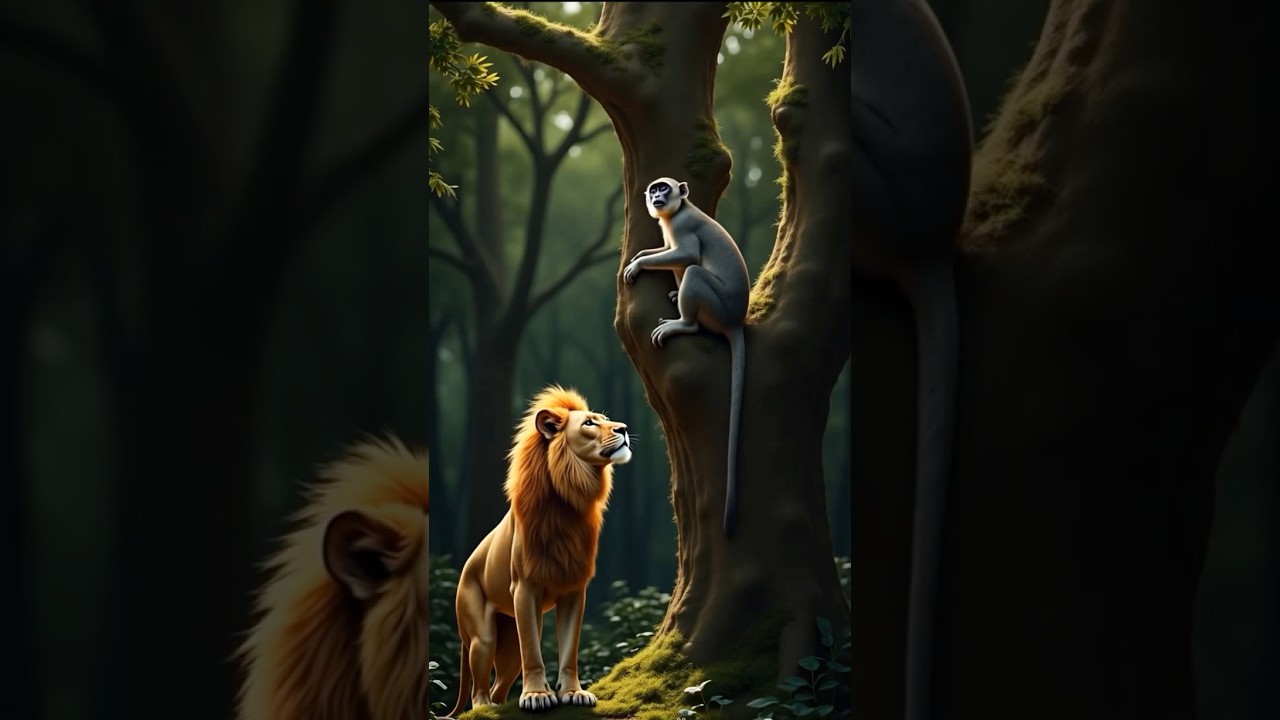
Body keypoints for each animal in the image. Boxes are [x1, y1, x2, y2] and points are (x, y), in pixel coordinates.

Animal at [447, 385, 632, 716]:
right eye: (589, 423)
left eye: (604, 419)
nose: (623, 428)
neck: (569, 502)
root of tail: (467, 567)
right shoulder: (524, 588)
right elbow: (533, 651)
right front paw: (536, 695)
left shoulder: (574, 589)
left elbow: (569, 648)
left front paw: (573, 692)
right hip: (482, 634)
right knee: (480, 686)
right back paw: (484, 707)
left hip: (509, 647)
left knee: (499, 685)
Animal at [622, 177, 750, 537]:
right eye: (654, 190)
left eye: (663, 188)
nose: (657, 196)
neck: (679, 209)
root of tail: (735, 319)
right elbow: (668, 251)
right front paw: (642, 255)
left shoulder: (681, 223)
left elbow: (688, 253)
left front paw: (638, 264)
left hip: (716, 303)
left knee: (692, 269)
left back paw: (685, 323)